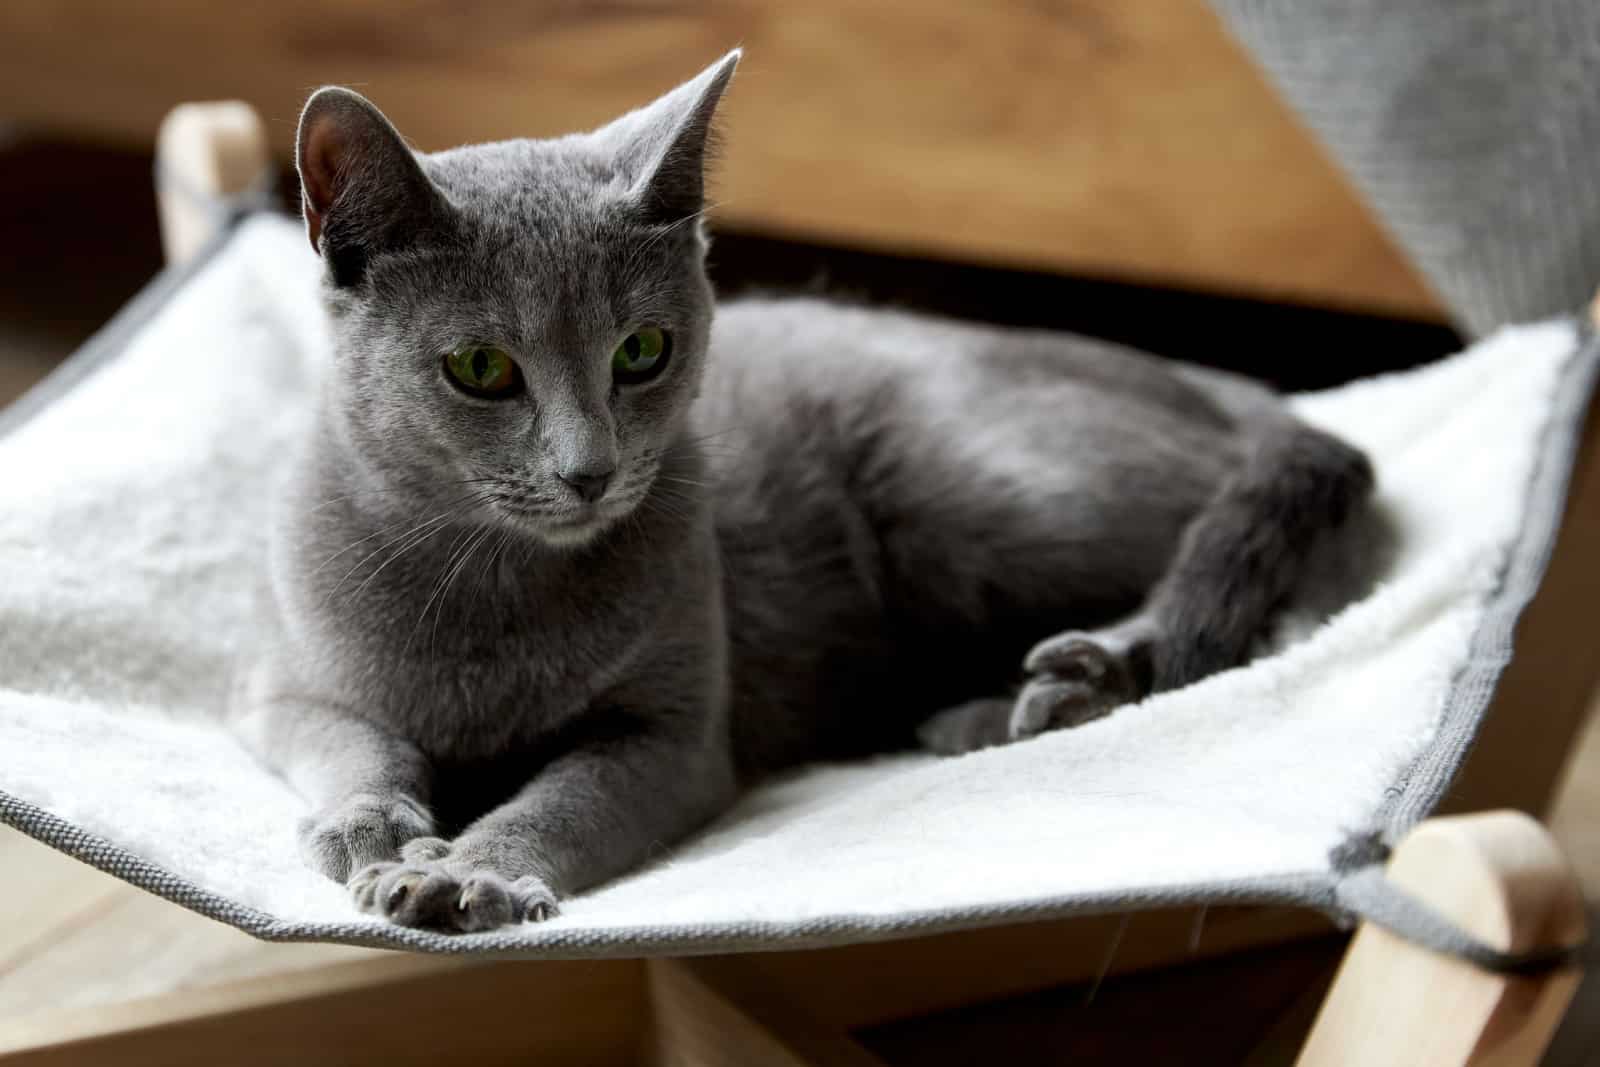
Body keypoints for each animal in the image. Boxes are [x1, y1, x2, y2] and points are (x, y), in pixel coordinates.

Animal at [233, 51, 1376, 934]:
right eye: (480, 369)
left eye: (642, 352)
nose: (588, 469)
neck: (496, 587)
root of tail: (1216, 382)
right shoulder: (285, 689)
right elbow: (348, 741)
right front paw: (374, 827)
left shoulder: (673, 738)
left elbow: (564, 801)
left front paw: (468, 871)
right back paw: (1006, 709)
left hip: (966, 491)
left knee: (1261, 566)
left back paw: (1098, 668)